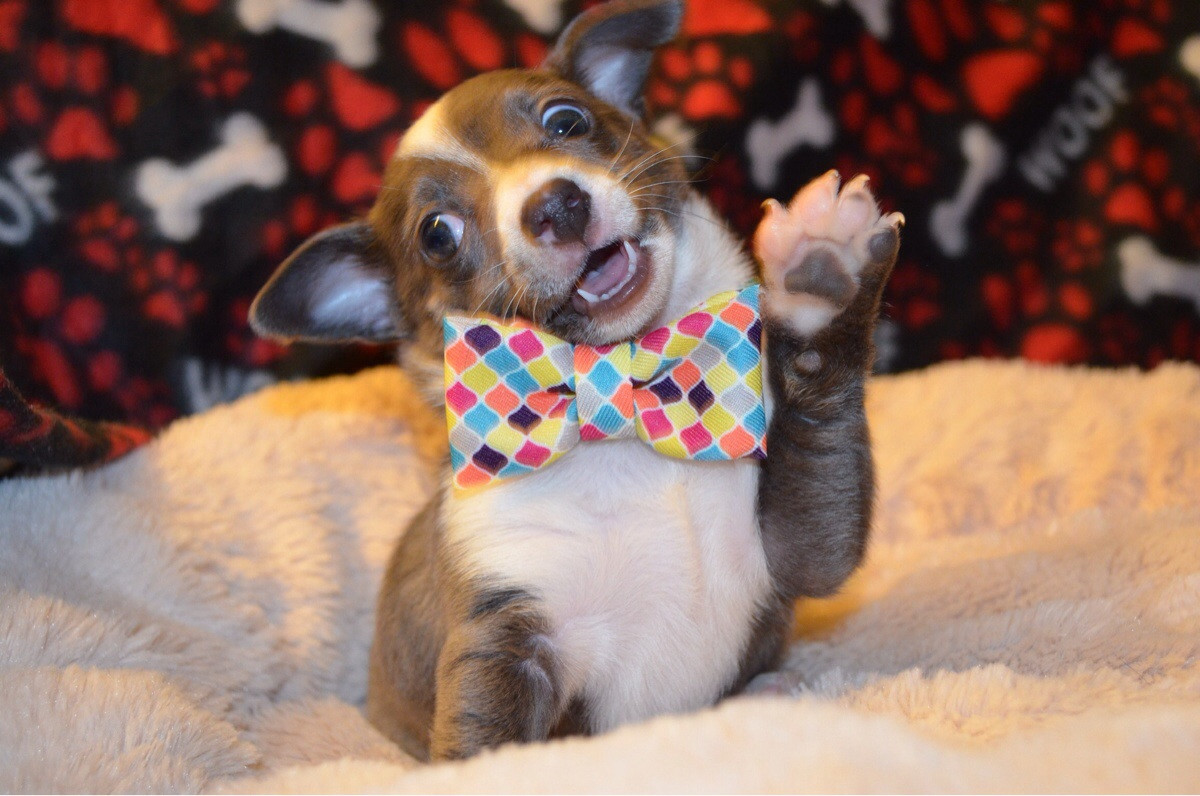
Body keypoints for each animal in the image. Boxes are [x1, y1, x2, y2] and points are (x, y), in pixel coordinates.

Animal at [248, 0, 902, 763]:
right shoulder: (508, 635)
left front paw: (822, 277)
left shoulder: (794, 552)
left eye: (566, 122)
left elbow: (817, 440)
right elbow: (484, 746)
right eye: (437, 235)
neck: (621, 414)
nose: (556, 205)